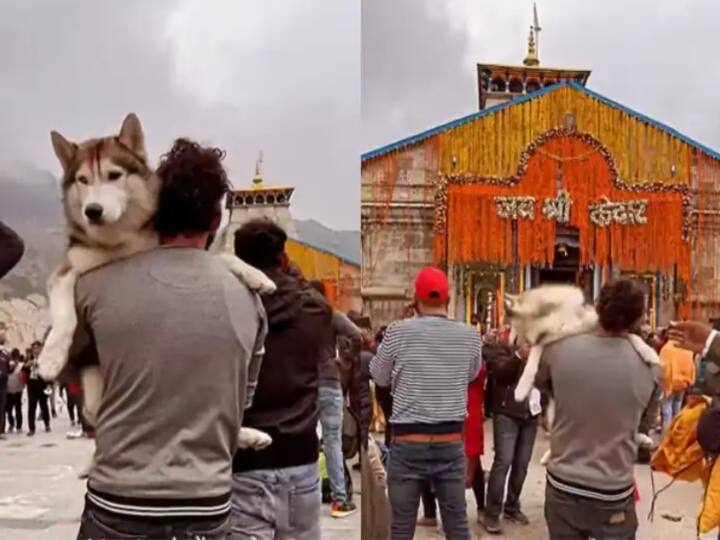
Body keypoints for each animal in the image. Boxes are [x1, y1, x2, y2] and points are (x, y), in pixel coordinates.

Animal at [38, 114, 278, 452]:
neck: (120, 244)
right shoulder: (68, 269)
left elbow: (221, 258)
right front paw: (50, 357)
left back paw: (251, 435)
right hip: (93, 384)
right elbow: (64, 315)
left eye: (114, 175)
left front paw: (258, 276)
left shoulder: (160, 244)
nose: (92, 211)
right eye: (83, 180)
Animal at [504, 282, 656, 464]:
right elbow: (533, 358)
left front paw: (649, 353)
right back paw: (548, 456)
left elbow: (632, 336)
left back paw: (644, 439)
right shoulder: (547, 339)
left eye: (510, 323)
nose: (509, 344)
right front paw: (522, 388)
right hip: (553, 414)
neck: (551, 314)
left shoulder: (592, 325)